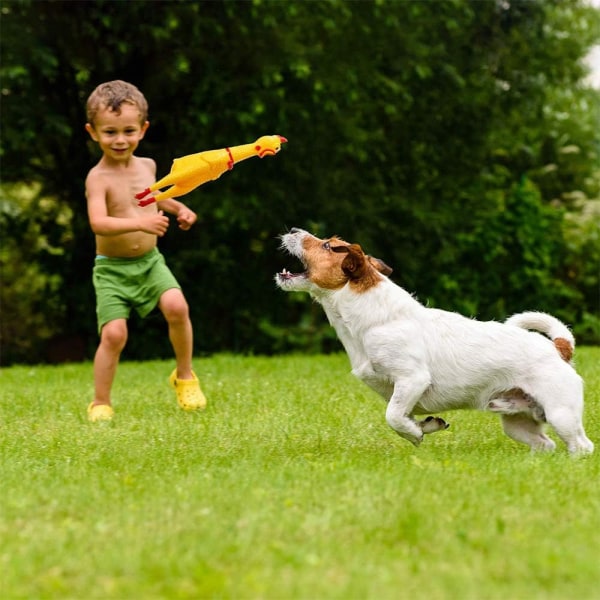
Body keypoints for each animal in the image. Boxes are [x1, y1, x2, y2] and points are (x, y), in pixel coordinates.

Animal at [276, 227, 596, 452]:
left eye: (328, 245)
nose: (292, 229)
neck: (374, 317)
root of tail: (559, 348)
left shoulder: (412, 379)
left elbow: (393, 416)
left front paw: (416, 433)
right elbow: (404, 415)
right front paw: (427, 425)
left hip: (561, 413)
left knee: (582, 445)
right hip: (517, 422)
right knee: (545, 444)